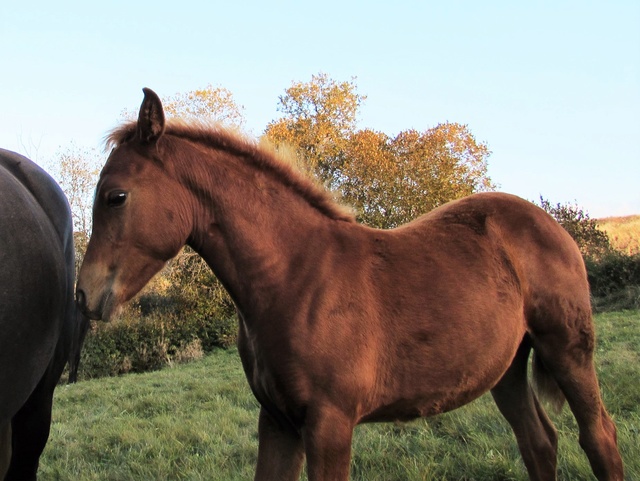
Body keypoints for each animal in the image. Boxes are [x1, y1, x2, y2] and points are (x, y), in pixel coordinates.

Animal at [77, 88, 624, 478]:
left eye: (116, 196)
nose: (84, 295)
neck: (293, 277)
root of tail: (548, 222)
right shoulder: (277, 422)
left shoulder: (330, 425)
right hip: (506, 367)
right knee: (539, 444)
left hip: (567, 349)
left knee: (599, 437)